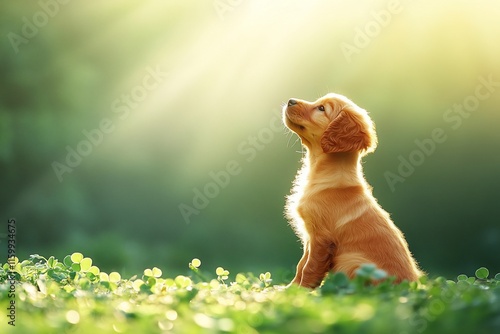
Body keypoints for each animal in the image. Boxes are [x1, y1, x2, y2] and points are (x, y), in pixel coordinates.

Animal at [282, 92, 422, 288]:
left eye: (321, 108)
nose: (290, 101)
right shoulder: (310, 236)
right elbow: (301, 264)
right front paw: (289, 288)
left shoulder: (322, 239)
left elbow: (309, 267)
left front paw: (301, 290)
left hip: (352, 260)